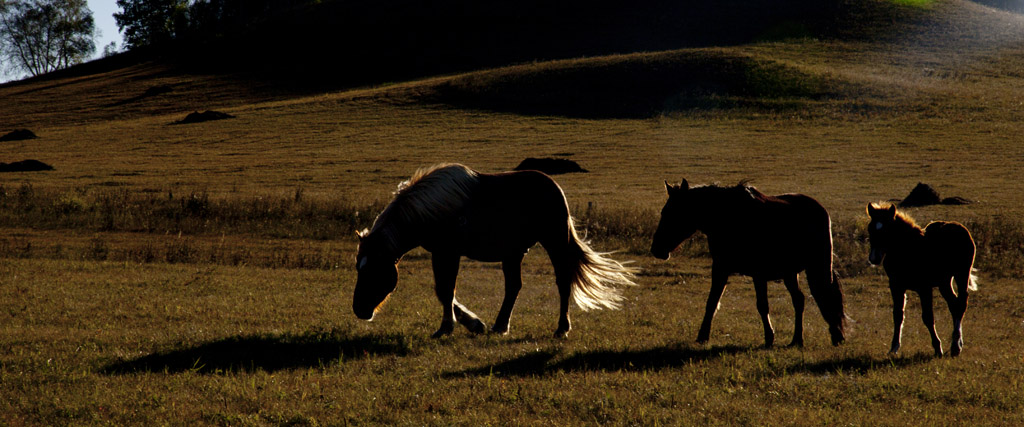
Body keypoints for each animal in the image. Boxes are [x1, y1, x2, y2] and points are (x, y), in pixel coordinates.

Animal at [356, 161, 634, 335]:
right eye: (359, 267)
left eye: (373, 270)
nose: (358, 310)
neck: (434, 210)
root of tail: (555, 188)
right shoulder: (442, 253)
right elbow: (443, 291)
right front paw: (473, 324)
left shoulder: (448, 253)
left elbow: (445, 291)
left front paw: (448, 327)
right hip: (514, 254)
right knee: (513, 287)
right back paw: (501, 326)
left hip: (554, 242)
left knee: (563, 282)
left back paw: (561, 328)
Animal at [868, 202, 978, 356]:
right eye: (870, 229)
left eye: (887, 230)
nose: (874, 258)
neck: (908, 251)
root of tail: (960, 227)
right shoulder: (896, 286)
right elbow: (897, 315)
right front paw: (894, 347)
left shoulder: (924, 288)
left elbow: (928, 317)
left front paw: (938, 348)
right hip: (944, 282)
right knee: (954, 304)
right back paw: (956, 343)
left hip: (961, 274)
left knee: (961, 303)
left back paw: (956, 346)